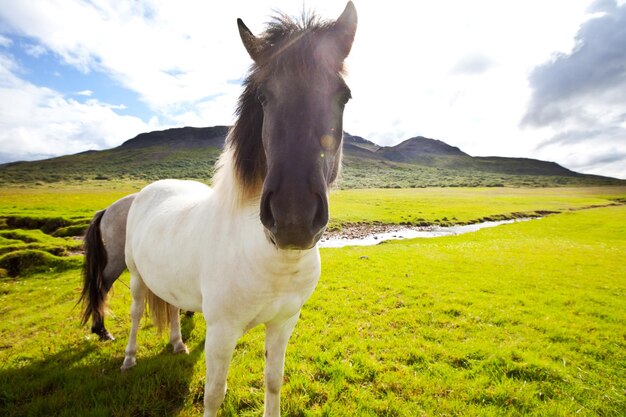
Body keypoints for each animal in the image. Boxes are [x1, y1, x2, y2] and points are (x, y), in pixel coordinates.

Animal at [120, 4, 356, 416]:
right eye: (262, 97)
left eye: (343, 97)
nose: (293, 218)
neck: (272, 262)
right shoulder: (221, 332)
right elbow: (214, 393)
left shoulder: (283, 323)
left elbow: (273, 381)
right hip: (136, 277)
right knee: (135, 313)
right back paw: (129, 358)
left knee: (172, 305)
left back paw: (178, 344)